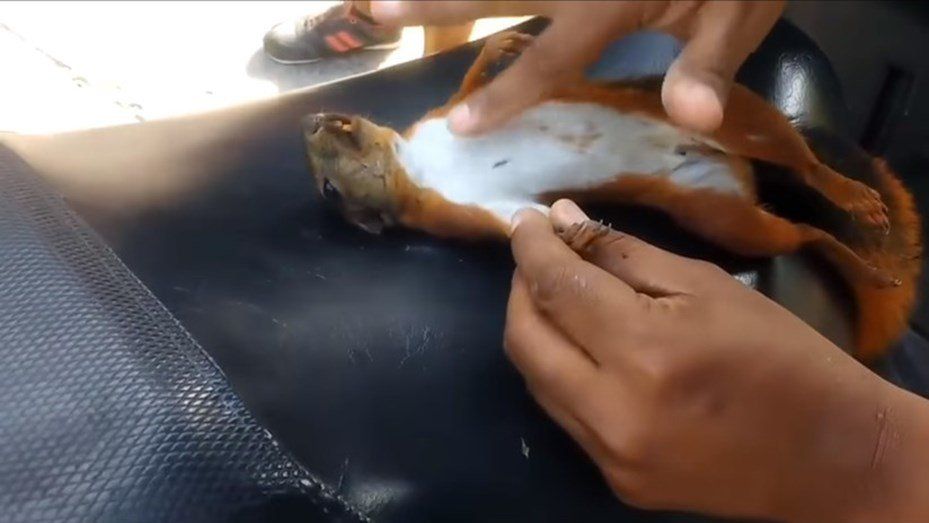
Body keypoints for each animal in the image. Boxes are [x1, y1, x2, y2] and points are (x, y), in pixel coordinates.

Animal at [303, 31, 922, 362]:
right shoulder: (461, 214)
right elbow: (519, 219)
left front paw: (504, 45)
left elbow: (473, 87)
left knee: (805, 164)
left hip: (744, 120)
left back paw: (853, 196)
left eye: (339, 124)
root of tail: (736, 167)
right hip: (719, 216)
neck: (417, 164)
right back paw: (859, 263)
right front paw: (577, 233)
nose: (311, 120)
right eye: (329, 192)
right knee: (801, 234)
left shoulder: (451, 115)